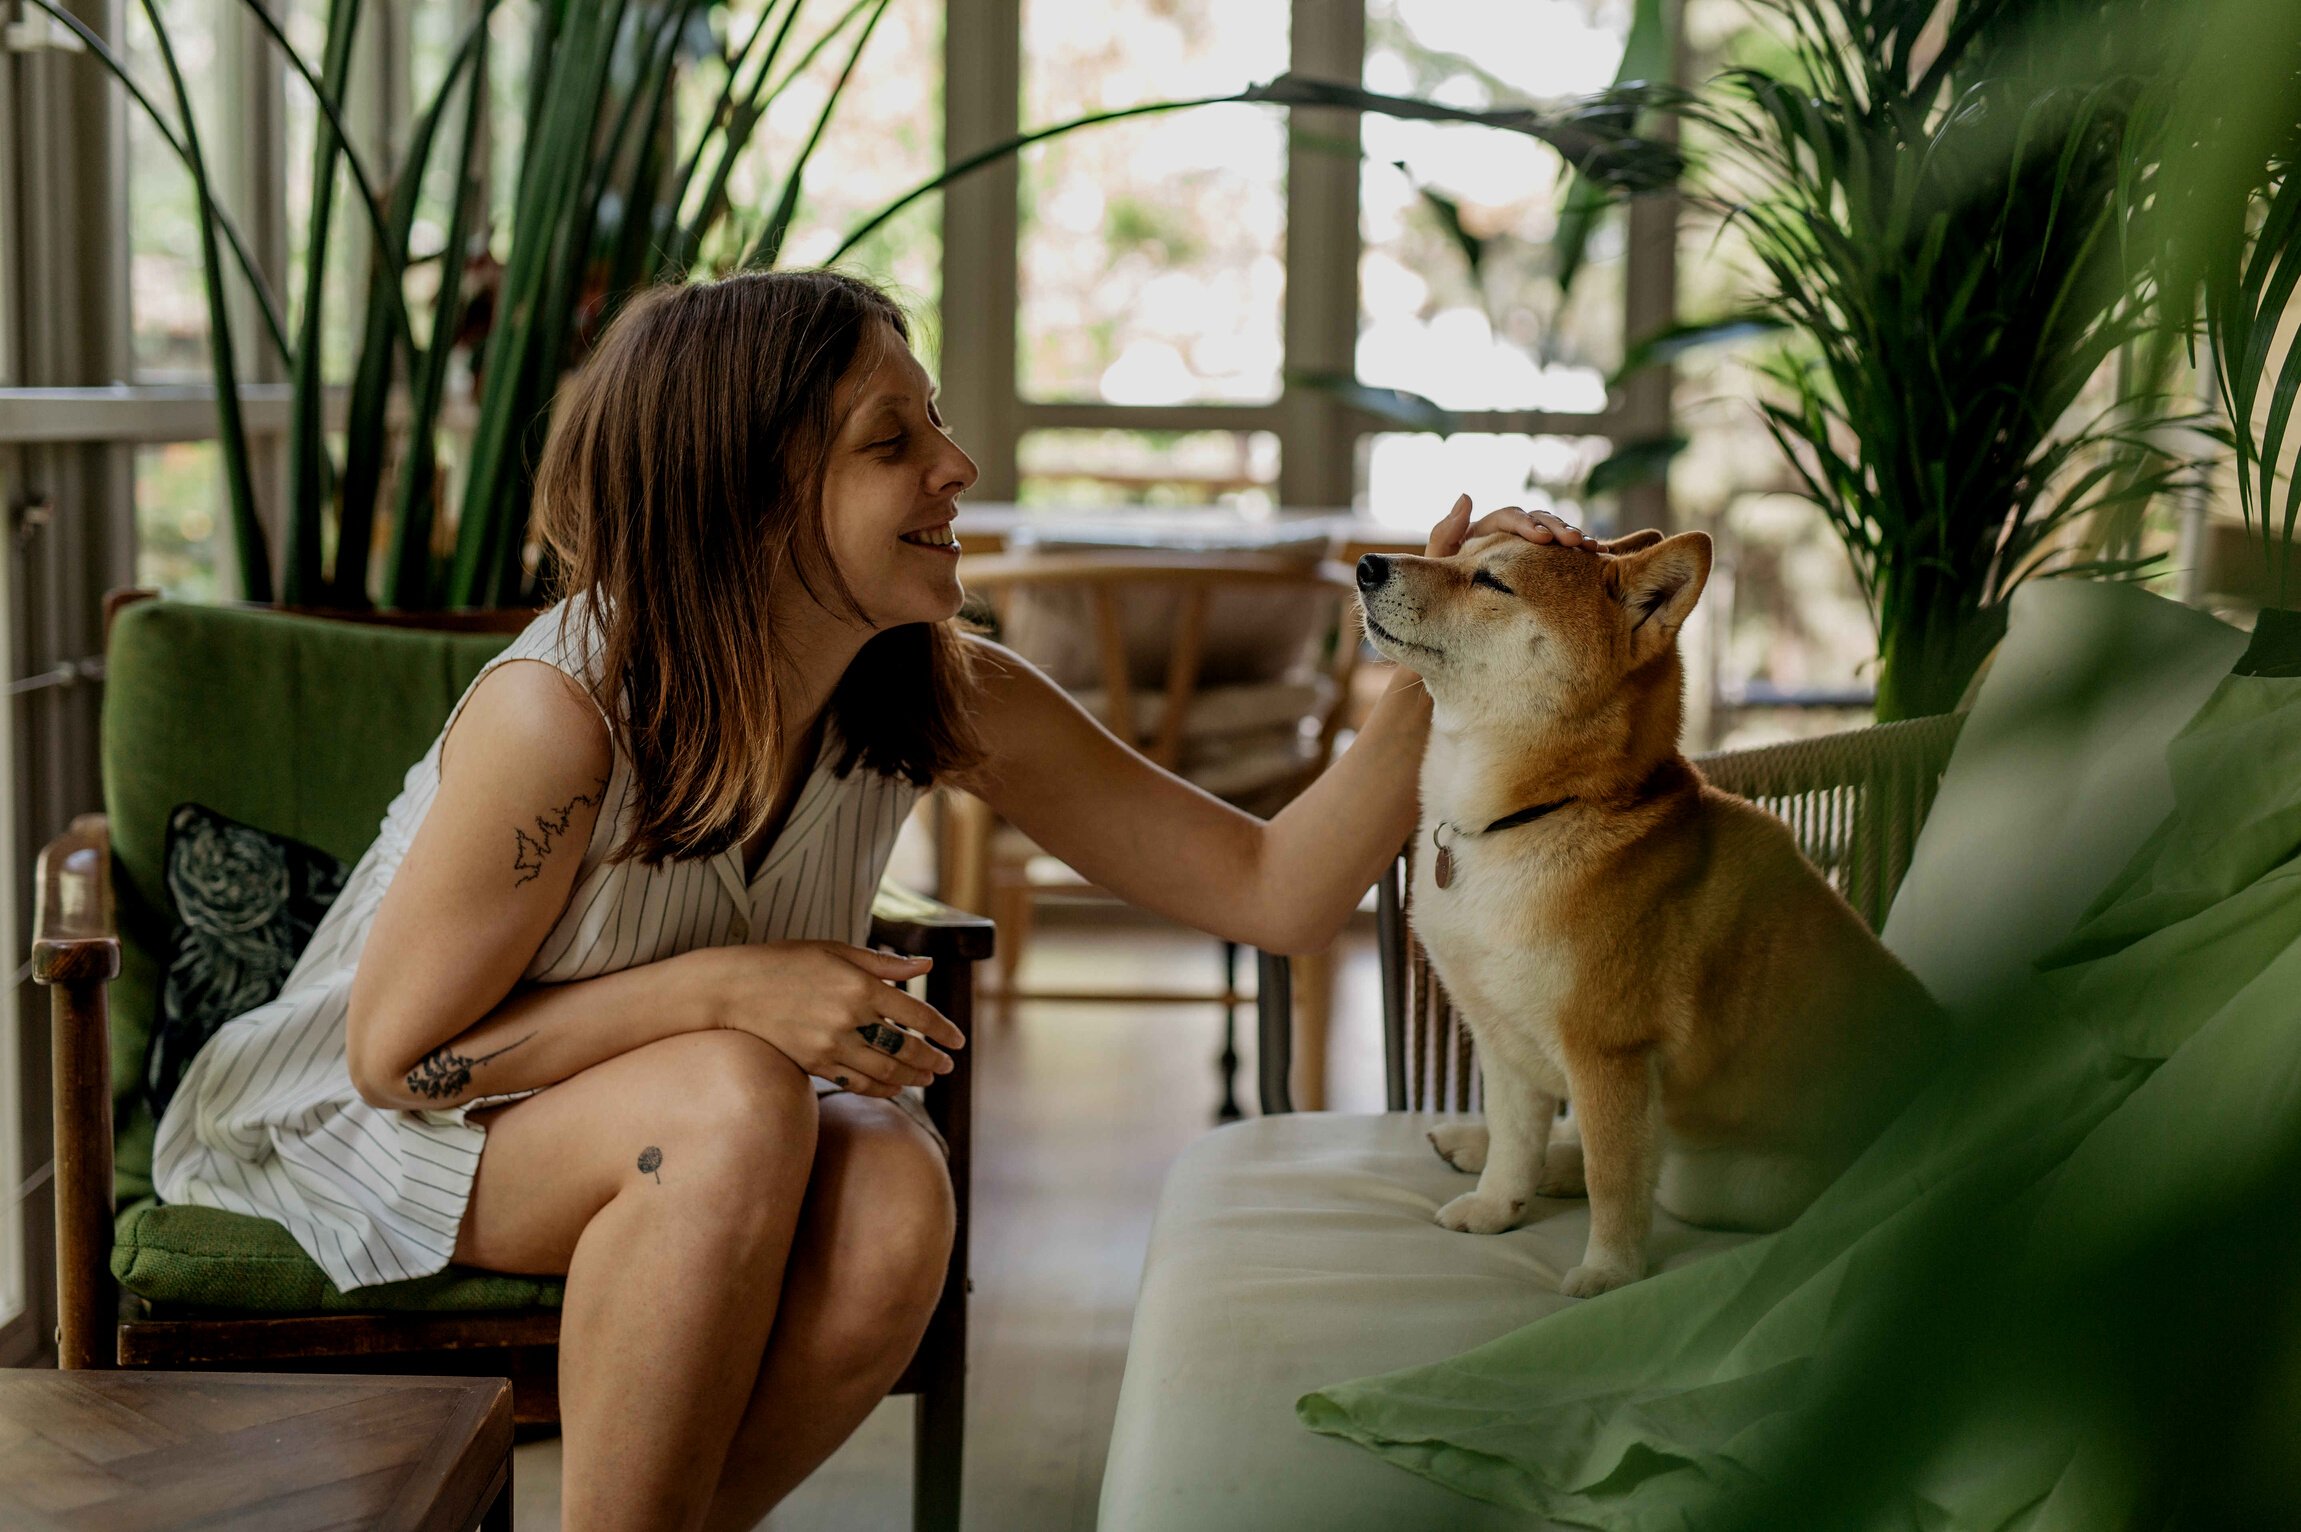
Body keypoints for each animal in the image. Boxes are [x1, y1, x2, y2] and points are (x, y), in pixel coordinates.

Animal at [1352, 524, 1951, 1288]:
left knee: (1644, 1169)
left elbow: (1613, 1177)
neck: (1535, 817)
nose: (1367, 564)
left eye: (1491, 581)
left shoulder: (1610, 1053)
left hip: (1730, 1184)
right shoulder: (1500, 1032)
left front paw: (1609, 1273)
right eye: (1457, 553)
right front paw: (1495, 1206)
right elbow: (1517, 1141)